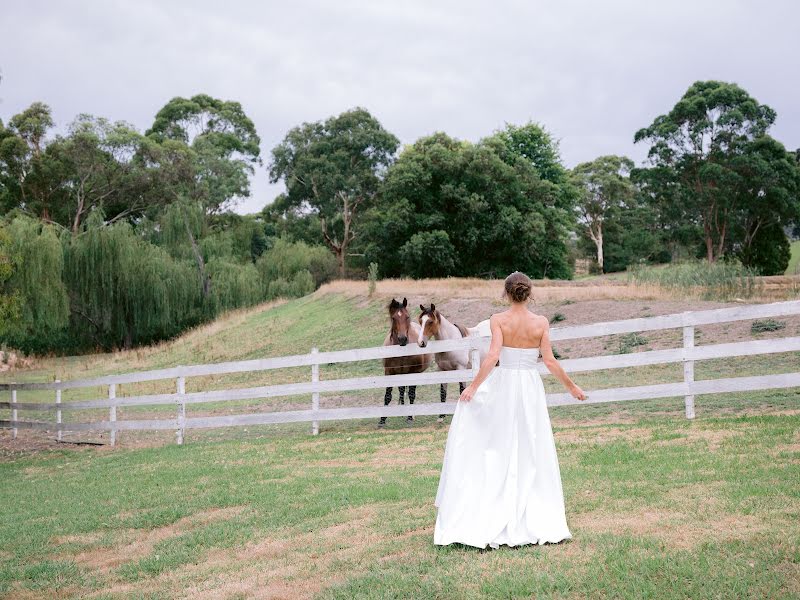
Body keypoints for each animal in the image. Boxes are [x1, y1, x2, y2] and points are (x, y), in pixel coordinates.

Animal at [380, 296, 432, 426]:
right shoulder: (389, 372)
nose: (402, 339)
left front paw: (409, 417)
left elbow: (411, 394)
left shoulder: (413, 372)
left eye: (407, 316)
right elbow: (387, 395)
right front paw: (382, 420)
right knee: (401, 390)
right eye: (394, 318)